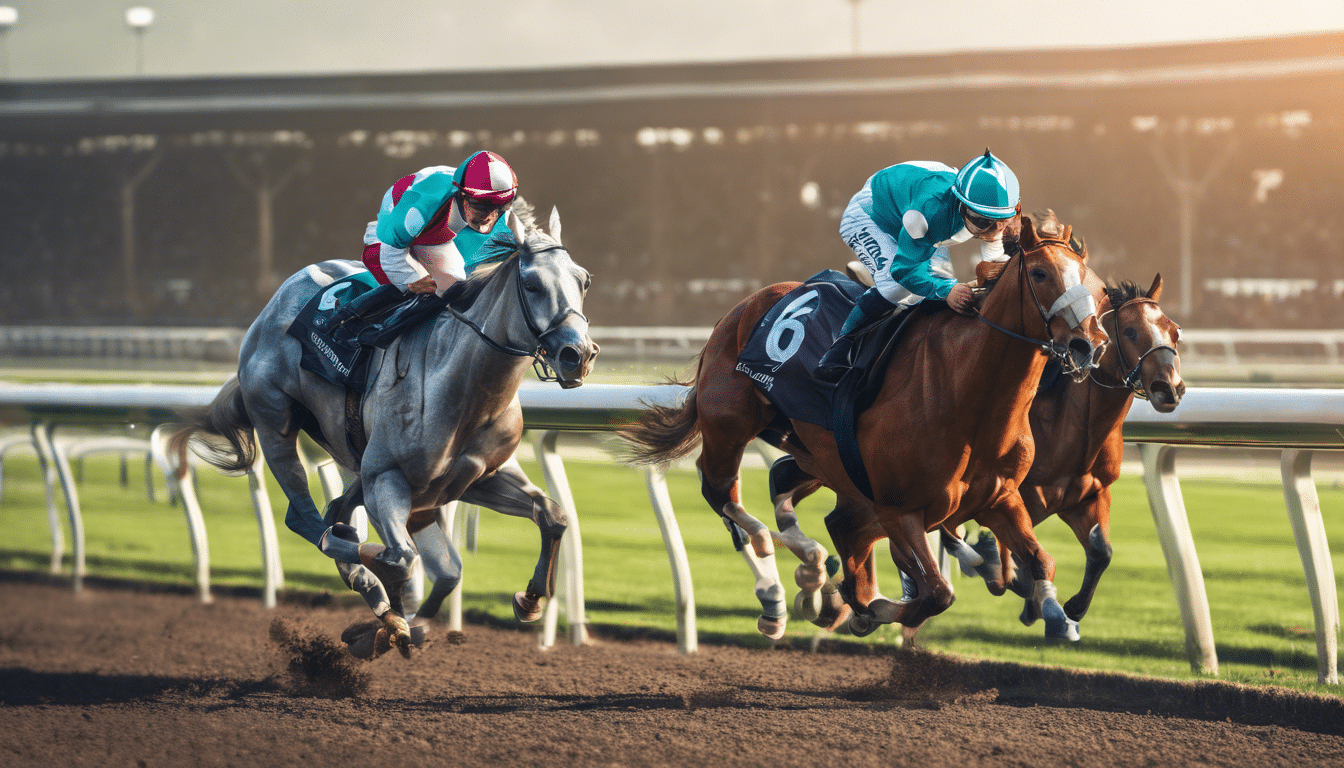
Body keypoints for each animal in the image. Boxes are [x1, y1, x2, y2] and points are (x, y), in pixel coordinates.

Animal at [172, 203, 599, 656]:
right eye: (532, 284)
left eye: (584, 280)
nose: (578, 355)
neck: (463, 387)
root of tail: (276, 300)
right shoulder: (386, 478)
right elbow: (401, 558)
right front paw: (386, 616)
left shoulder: (480, 477)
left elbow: (550, 517)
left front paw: (528, 599)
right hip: (275, 422)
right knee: (306, 517)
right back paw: (363, 577)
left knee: (344, 516)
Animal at [623, 217, 1107, 642]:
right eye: (1040, 273)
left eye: (1096, 285)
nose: (1088, 345)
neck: (968, 396)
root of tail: (743, 308)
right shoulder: (899, 510)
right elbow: (933, 593)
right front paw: (868, 610)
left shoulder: (999, 499)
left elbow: (1041, 562)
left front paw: (1057, 614)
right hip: (730, 423)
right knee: (721, 490)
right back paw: (774, 578)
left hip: (814, 453)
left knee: (796, 491)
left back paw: (812, 566)